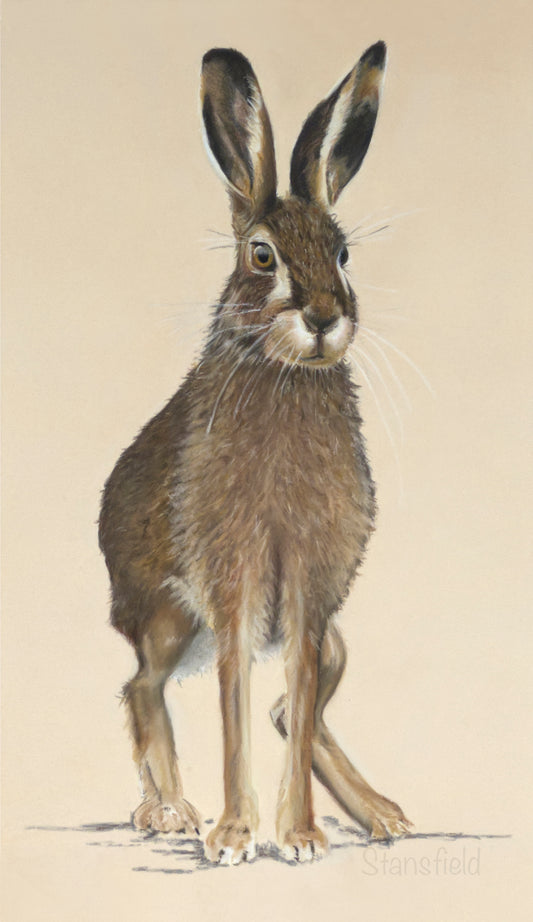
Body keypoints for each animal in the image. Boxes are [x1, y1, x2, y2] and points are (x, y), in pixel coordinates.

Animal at [99, 41, 412, 865]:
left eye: (343, 253)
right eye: (261, 255)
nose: (325, 317)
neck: (284, 374)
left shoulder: (309, 589)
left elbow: (290, 706)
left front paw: (298, 836)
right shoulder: (231, 577)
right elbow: (231, 705)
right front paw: (234, 836)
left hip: (333, 637)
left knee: (285, 709)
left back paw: (382, 814)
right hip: (169, 619)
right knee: (142, 688)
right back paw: (169, 811)